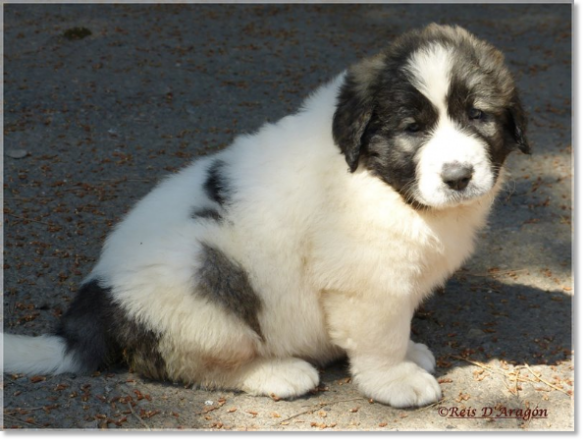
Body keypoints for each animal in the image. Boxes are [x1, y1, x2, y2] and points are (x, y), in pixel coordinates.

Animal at [1, 24, 528, 408]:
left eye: (478, 115)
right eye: (413, 128)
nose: (458, 176)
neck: (376, 178)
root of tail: (96, 300)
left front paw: (411, 353)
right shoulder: (366, 283)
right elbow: (380, 336)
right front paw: (397, 379)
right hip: (202, 277)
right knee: (191, 366)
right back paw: (278, 372)